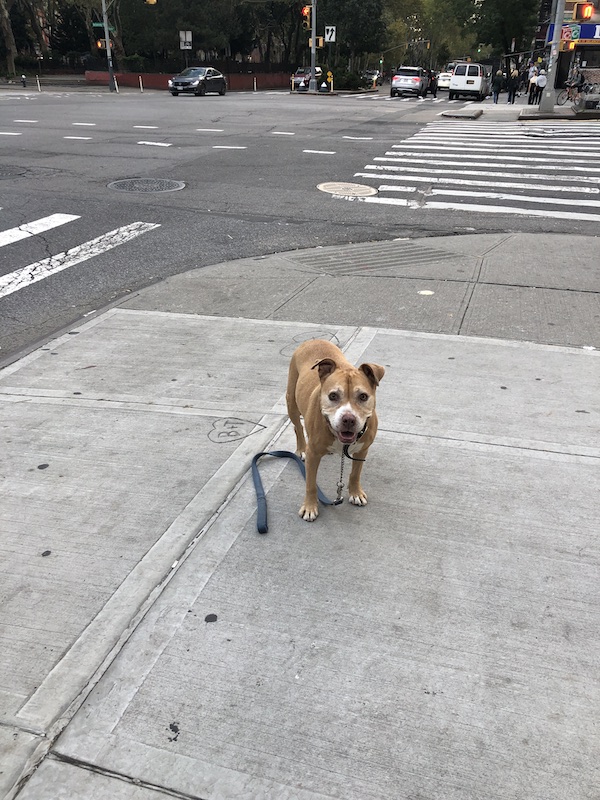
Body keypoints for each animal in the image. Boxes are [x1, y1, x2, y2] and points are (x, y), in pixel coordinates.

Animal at [284, 340, 384, 520]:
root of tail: (313, 340)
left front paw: (355, 493)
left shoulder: (362, 451)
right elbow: (311, 484)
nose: (348, 419)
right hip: (291, 402)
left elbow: (355, 474)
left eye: (363, 396)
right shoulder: (313, 455)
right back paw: (301, 448)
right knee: (298, 427)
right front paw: (309, 507)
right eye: (333, 396)